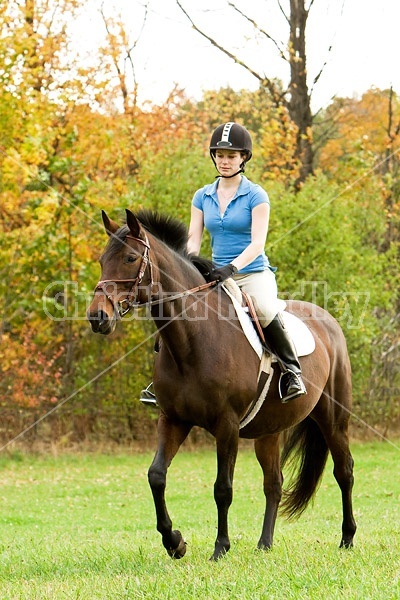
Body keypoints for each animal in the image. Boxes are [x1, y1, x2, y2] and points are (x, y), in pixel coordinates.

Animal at [87, 209, 356, 560]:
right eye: (102, 260)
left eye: (131, 258)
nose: (97, 317)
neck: (191, 340)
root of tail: (328, 320)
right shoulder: (173, 419)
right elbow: (156, 476)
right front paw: (174, 542)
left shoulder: (226, 425)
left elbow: (222, 488)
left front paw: (220, 548)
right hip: (269, 430)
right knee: (274, 483)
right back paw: (264, 544)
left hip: (333, 419)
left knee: (344, 471)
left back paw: (347, 538)